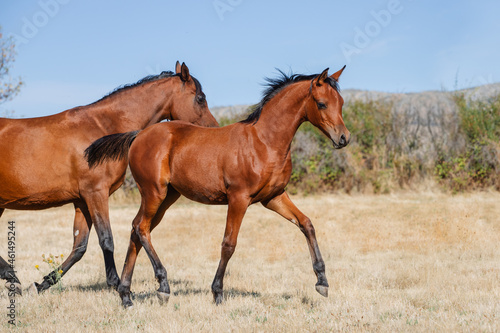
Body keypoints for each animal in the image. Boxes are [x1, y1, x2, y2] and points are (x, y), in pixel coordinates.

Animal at [0, 61, 219, 292]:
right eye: (200, 98)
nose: (214, 130)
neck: (101, 127)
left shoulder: (82, 201)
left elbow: (79, 246)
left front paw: (44, 283)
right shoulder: (96, 193)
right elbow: (106, 239)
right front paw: (116, 283)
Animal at [86, 65, 350, 306]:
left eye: (341, 102)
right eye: (322, 103)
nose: (344, 138)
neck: (264, 142)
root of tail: (138, 135)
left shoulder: (273, 197)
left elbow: (307, 224)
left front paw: (322, 281)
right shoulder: (239, 198)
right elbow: (228, 244)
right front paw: (217, 292)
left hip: (166, 197)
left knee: (136, 230)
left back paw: (126, 295)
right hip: (154, 193)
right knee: (141, 228)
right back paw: (162, 286)